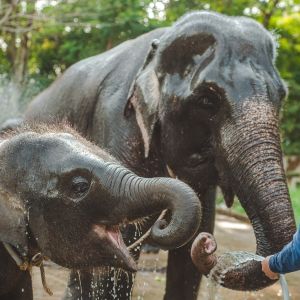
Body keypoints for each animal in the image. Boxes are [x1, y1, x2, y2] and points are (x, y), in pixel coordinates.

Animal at [25, 11, 296, 300]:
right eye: (207, 101)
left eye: (281, 96)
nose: (209, 246)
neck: (161, 42)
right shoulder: (116, 120)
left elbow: (191, 249)